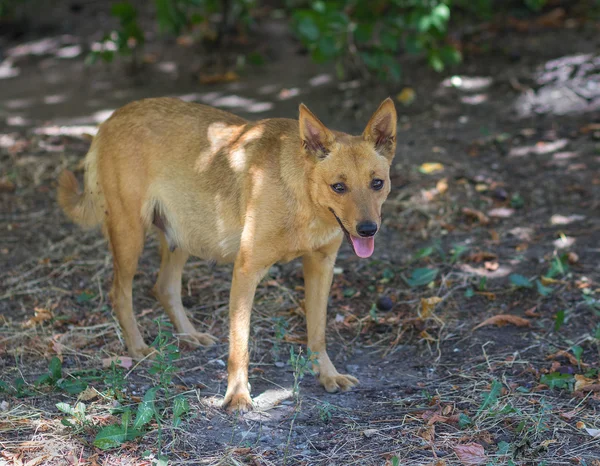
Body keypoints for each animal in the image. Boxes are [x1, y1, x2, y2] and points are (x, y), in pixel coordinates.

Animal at [58, 96, 398, 410]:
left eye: (377, 183)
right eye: (338, 187)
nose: (368, 230)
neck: (304, 200)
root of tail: (112, 118)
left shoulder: (321, 267)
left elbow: (317, 332)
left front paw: (327, 375)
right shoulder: (246, 271)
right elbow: (240, 343)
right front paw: (237, 395)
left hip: (183, 236)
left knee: (164, 287)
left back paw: (190, 336)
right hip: (130, 237)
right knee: (120, 294)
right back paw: (139, 349)